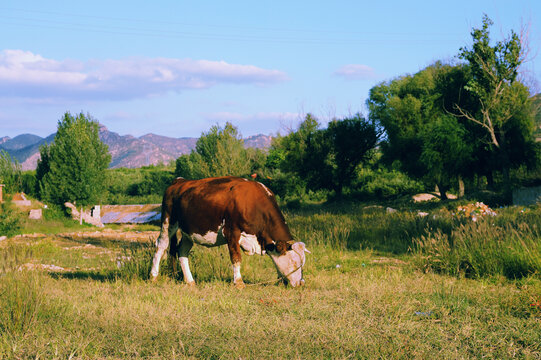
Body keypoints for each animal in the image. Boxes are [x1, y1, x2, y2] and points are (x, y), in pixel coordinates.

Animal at [149, 176, 308, 288]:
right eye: (295, 262)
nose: (301, 283)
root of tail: (179, 181)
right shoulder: (232, 232)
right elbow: (236, 258)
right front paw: (239, 282)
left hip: (190, 232)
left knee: (182, 251)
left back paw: (190, 281)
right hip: (168, 222)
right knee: (161, 245)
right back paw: (153, 276)